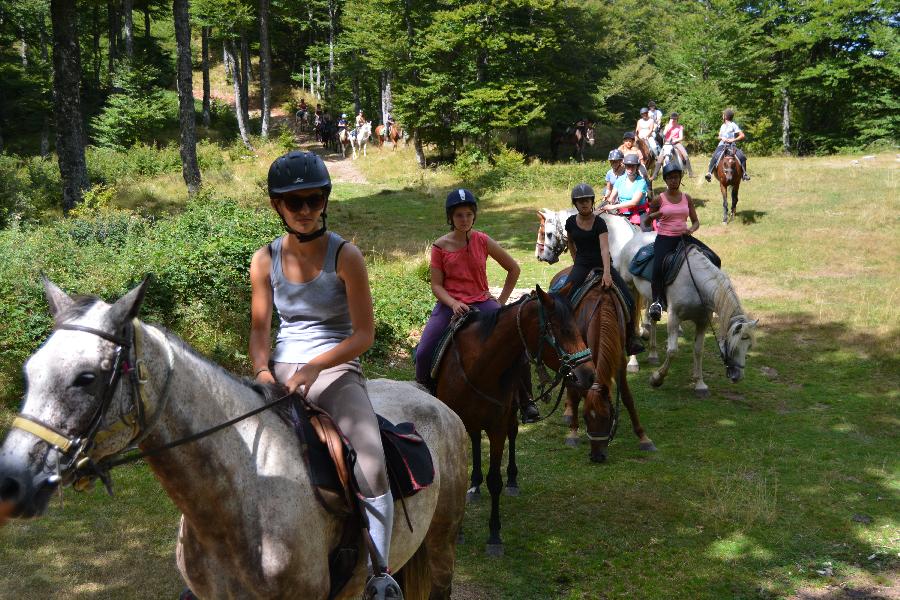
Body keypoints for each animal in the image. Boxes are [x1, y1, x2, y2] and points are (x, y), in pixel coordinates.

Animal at [3, 280, 472, 600]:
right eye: (30, 371)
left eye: (86, 378)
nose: (12, 481)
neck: (241, 501)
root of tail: (432, 399)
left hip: (442, 543)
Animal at [432, 288, 596, 556]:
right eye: (562, 330)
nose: (589, 375)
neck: (479, 366)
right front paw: (459, 532)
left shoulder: (497, 427)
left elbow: (495, 480)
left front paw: (494, 536)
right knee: (476, 438)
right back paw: (475, 486)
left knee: (512, 434)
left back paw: (511, 480)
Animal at [544, 270, 656, 464]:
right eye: (586, 418)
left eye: (608, 417)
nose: (597, 457)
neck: (601, 314)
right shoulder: (578, 360)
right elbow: (576, 394)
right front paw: (573, 433)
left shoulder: (619, 359)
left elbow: (627, 397)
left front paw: (643, 437)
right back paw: (568, 412)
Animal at [620, 237, 760, 396]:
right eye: (732, 345)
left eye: (748, 346)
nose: (737, 377)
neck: (696, 285)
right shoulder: (674, 318)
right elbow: (672, 351)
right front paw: (656, 378)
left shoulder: (703, 321)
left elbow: (698, 350)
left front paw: (700, 384)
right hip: (630, 287)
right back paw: (633, 363)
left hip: (650, 298)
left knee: (653, 321)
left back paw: (653, 355)